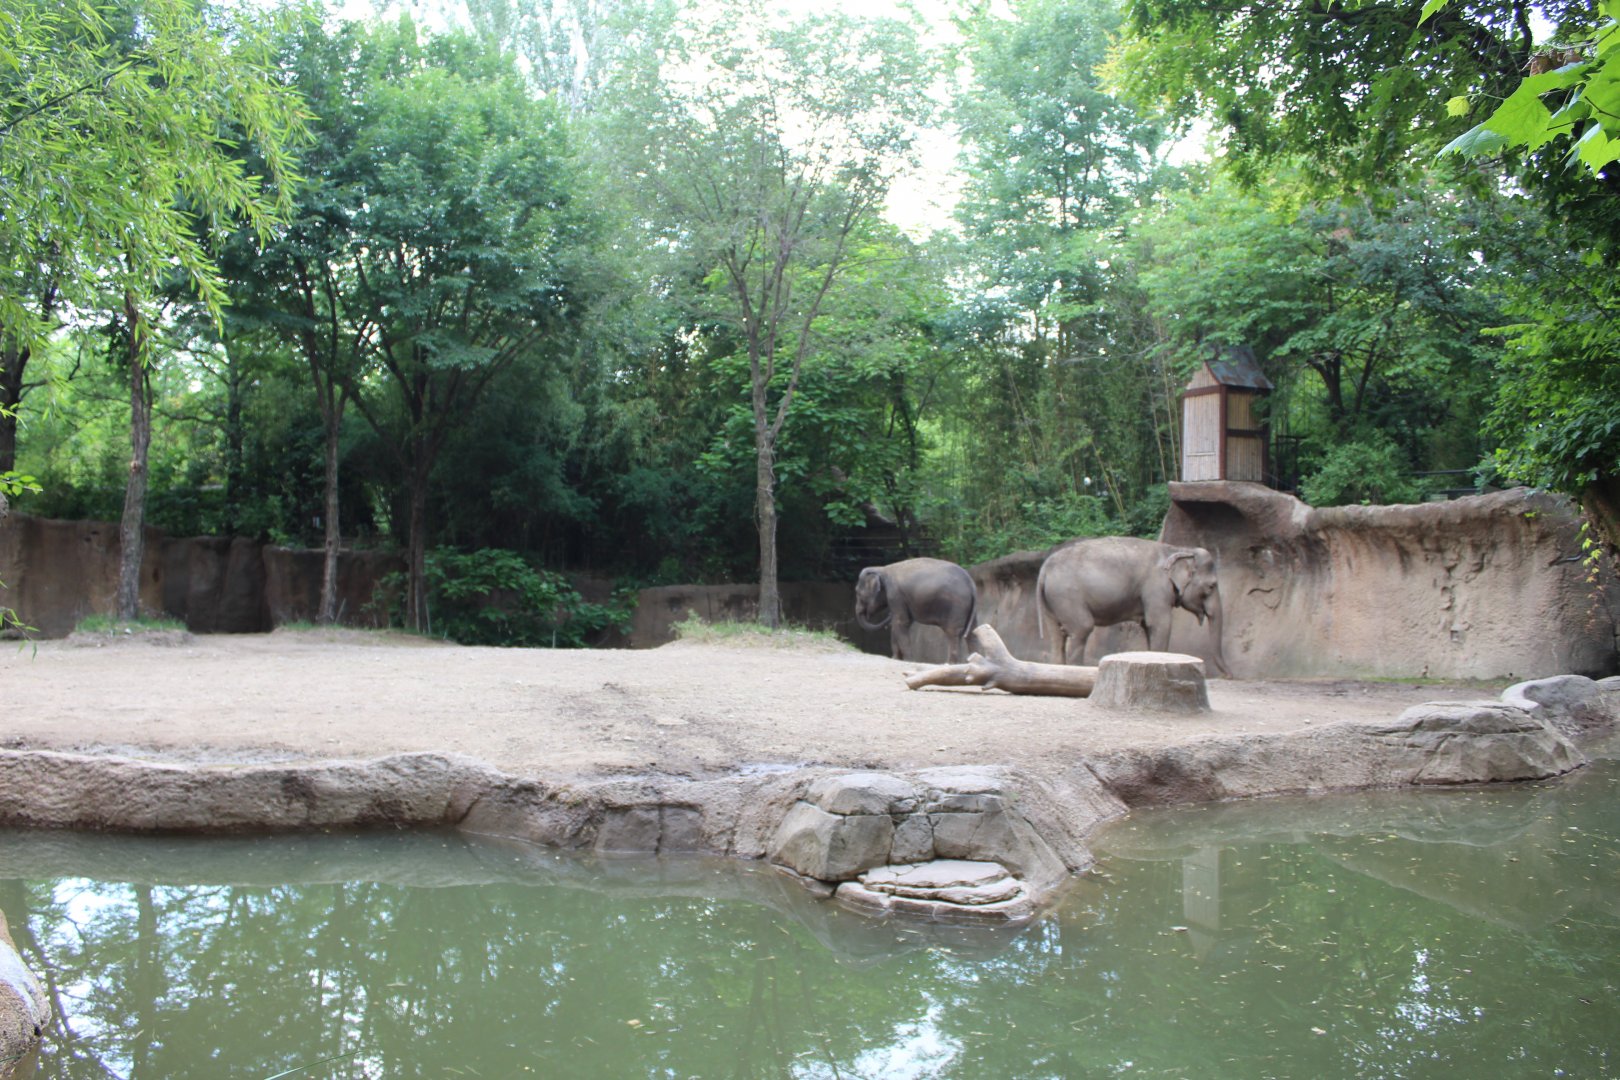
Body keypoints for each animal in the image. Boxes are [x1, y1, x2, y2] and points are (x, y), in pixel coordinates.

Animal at [1035, 536, 1230, 676]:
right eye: (1212, 586)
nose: (1229, 676)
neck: (1179, 549)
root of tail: (1044, 570)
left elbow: (1147, 626)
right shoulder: (1156, 586)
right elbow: (1160, 624)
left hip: (1052, 601)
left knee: (1057, 635)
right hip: (1067, 595)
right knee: (1081, 628)